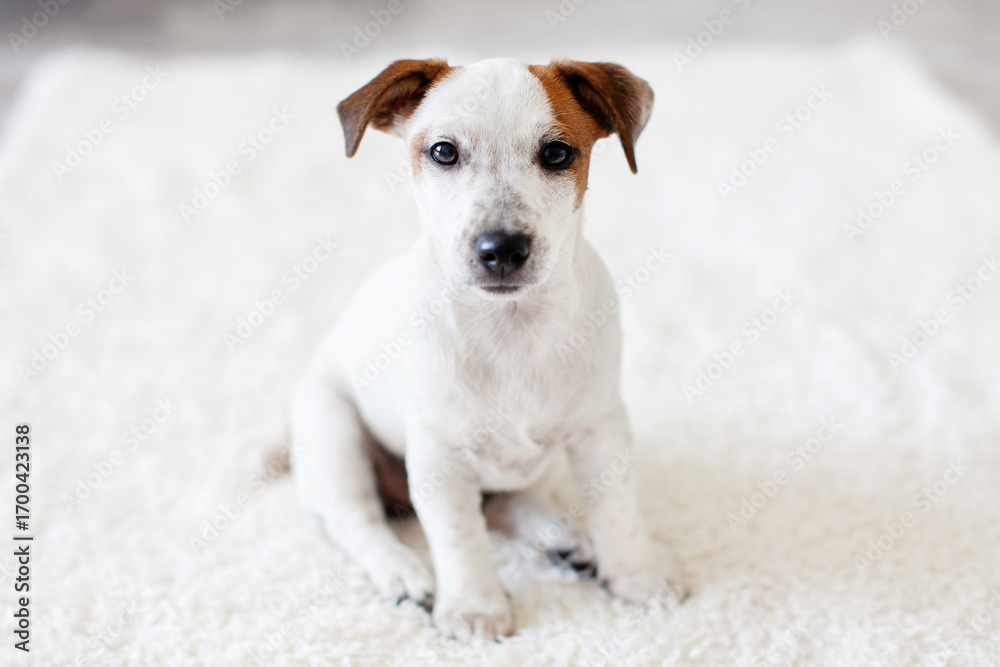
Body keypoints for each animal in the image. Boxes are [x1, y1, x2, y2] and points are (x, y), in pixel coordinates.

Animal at [291, 57, 685, 641]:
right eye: (443, 151)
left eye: (557, 153)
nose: (501, 248)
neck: (512, 326)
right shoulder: (439, 456)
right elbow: (459, 536)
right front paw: (475, 606)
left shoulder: (601, 429)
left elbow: (617, 510)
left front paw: (638, 577)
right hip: (333, 430)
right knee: (356, 521)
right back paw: (403, 570)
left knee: (507, 504)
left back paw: (564, 539)